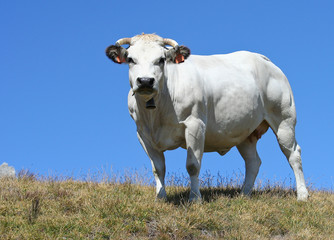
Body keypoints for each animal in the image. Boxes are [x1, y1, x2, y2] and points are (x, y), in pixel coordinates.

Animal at [105, 33, 310, 202]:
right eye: (130, 59)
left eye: (161, 59)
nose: (146, 81)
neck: (156, 112)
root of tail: (263, 59)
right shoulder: (143, 134)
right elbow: (158, 168)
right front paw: (160, 198)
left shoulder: (195, 125)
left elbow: (193, 165)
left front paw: (195, 199)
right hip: (245, 132)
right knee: (253, 162)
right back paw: (244, 194)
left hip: (284, 119)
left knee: (293, 154)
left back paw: (302, 195)